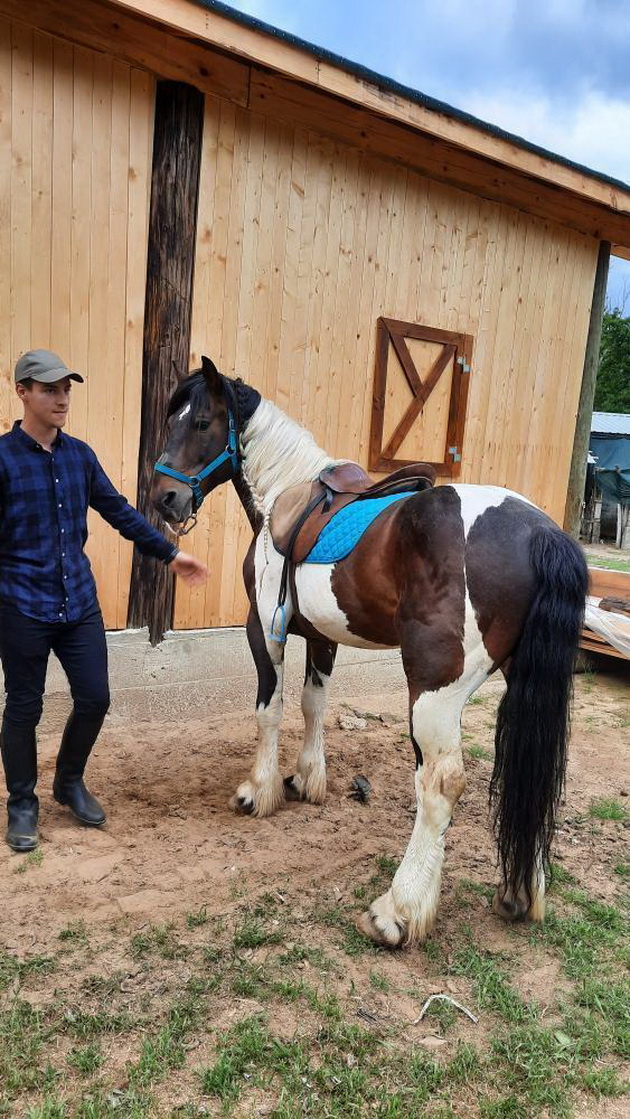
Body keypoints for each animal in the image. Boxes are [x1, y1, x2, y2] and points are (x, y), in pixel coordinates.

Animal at [149, 355, 590, 944]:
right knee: (534, 773)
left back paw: (398, 911)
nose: (164, 499)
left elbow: (270, 709)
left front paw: (258, 791)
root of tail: (542, 533)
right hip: (524, 685)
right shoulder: (321, 636)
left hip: (432, 692)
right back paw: (520, 892)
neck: (285, 496)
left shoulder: (263, 630)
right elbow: (313, 704)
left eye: (201, 423)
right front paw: (306, 780)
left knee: (440, 783)